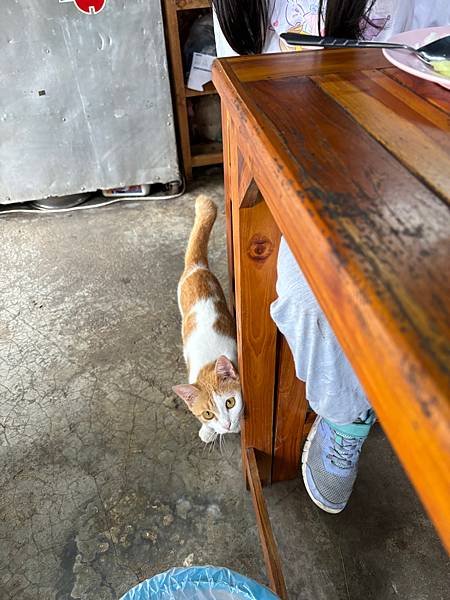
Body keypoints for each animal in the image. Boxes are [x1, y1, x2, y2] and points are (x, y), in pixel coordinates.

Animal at [173, 195, 243, 442]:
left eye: (230, 403)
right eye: (208, 414)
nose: (227, 424)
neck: (208, 363)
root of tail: (197, 267)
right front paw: (209, 430)